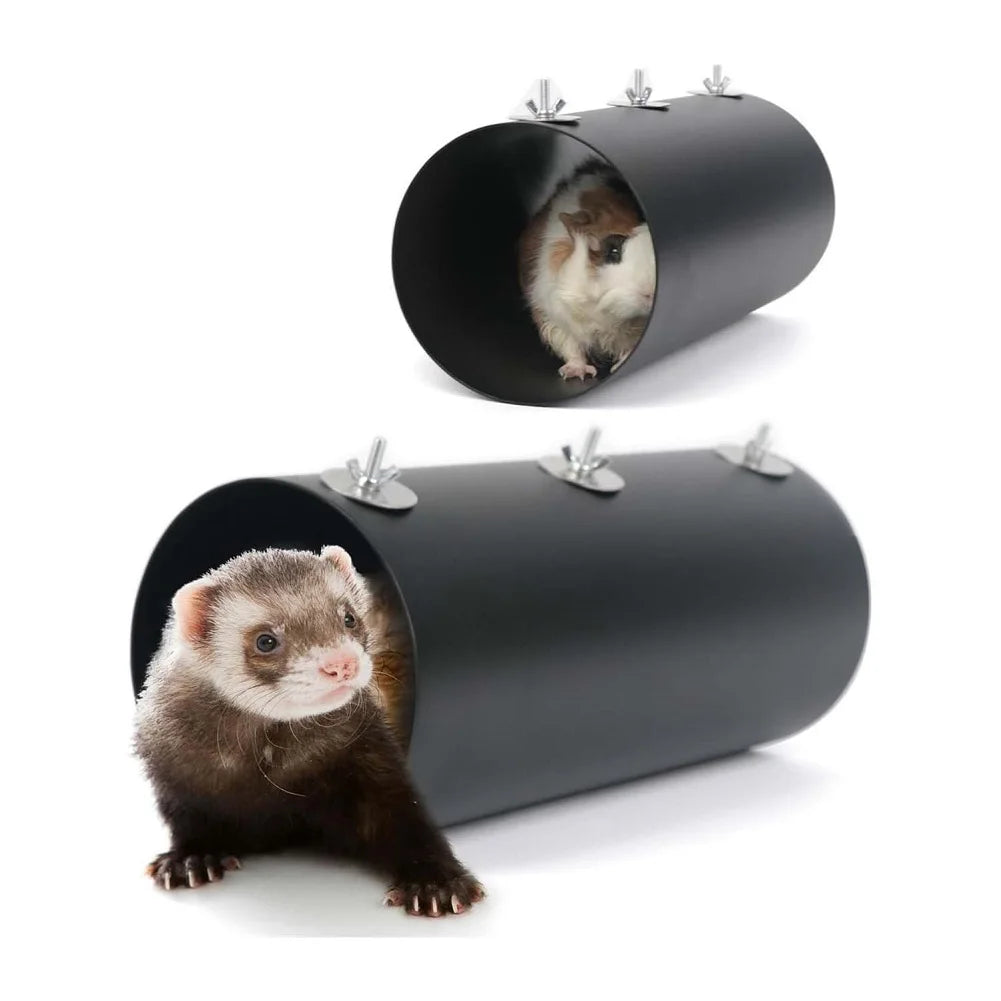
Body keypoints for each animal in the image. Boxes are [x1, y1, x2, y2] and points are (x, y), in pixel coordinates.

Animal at [134, 546, 484, 917]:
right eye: (265, 640)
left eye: (349, 617)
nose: (341, 663)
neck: (268, 777)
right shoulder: (176, 775)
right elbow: (188, 820)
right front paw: (190, 859)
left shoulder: (372, 760)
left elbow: (407, 819)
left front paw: (436, 884)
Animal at [519, 159, 655, 380]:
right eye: (613, 251)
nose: (650, 292)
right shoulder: (552, 314)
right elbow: (571, 346)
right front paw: (576, 374)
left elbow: (629, 346)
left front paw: (618, 366)